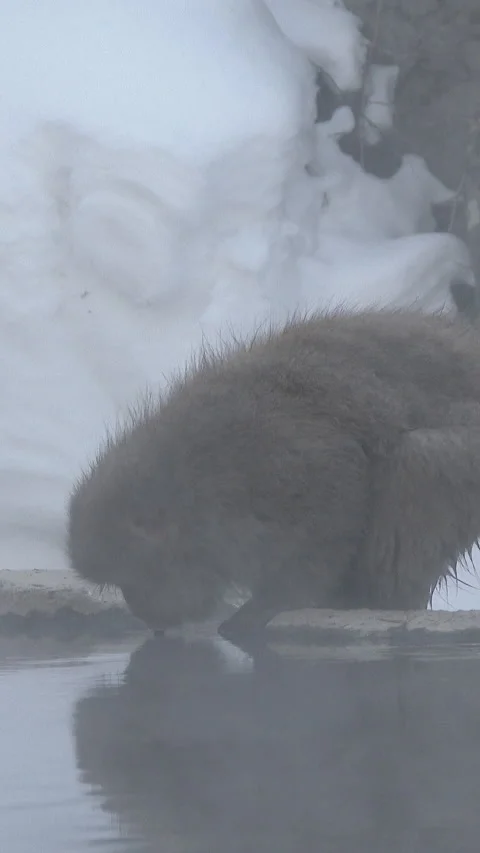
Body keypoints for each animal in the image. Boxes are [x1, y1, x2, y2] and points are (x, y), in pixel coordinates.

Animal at [67, 302, 480, 644]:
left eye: (132, 577)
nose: (142, 613)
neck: (192, 487)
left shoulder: (268, 461)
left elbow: (337, 496)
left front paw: (268, 606)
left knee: (419, 461)